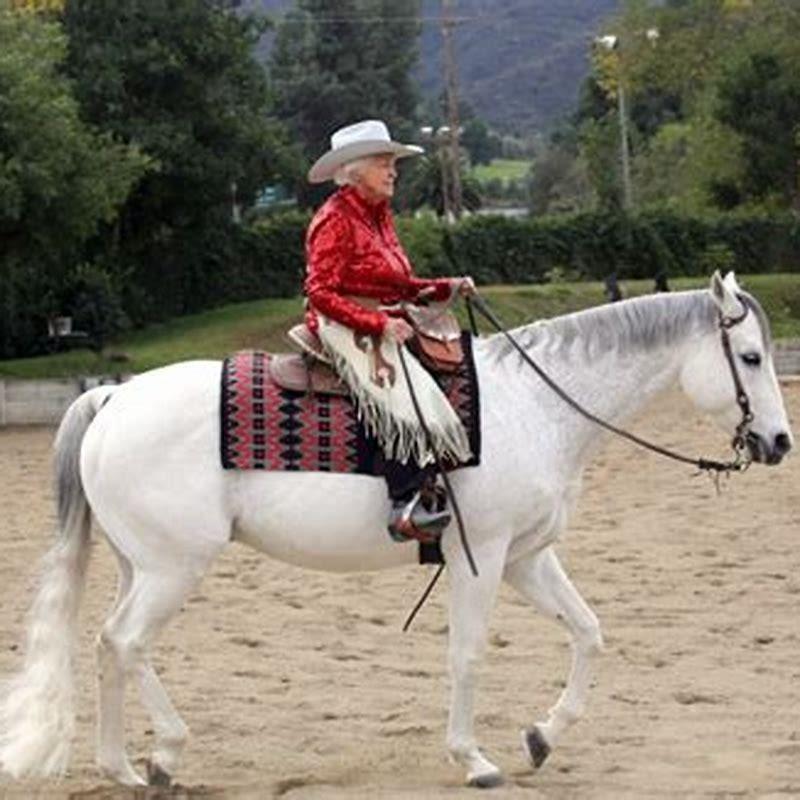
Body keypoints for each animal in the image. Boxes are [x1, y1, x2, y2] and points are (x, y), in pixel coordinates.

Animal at [0, 272, 792, 790]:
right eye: (751, 358)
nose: (780, 442)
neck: (534, 405)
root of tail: (112, 398)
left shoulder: (526, 557)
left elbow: (589, 631)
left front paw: (540, 736)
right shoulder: (482, 558)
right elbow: (468, 655)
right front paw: (475, 759)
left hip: (142, 565)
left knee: (108, 645)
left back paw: (125, 767)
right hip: (174, 568)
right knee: (125, 642)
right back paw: (163, 753)